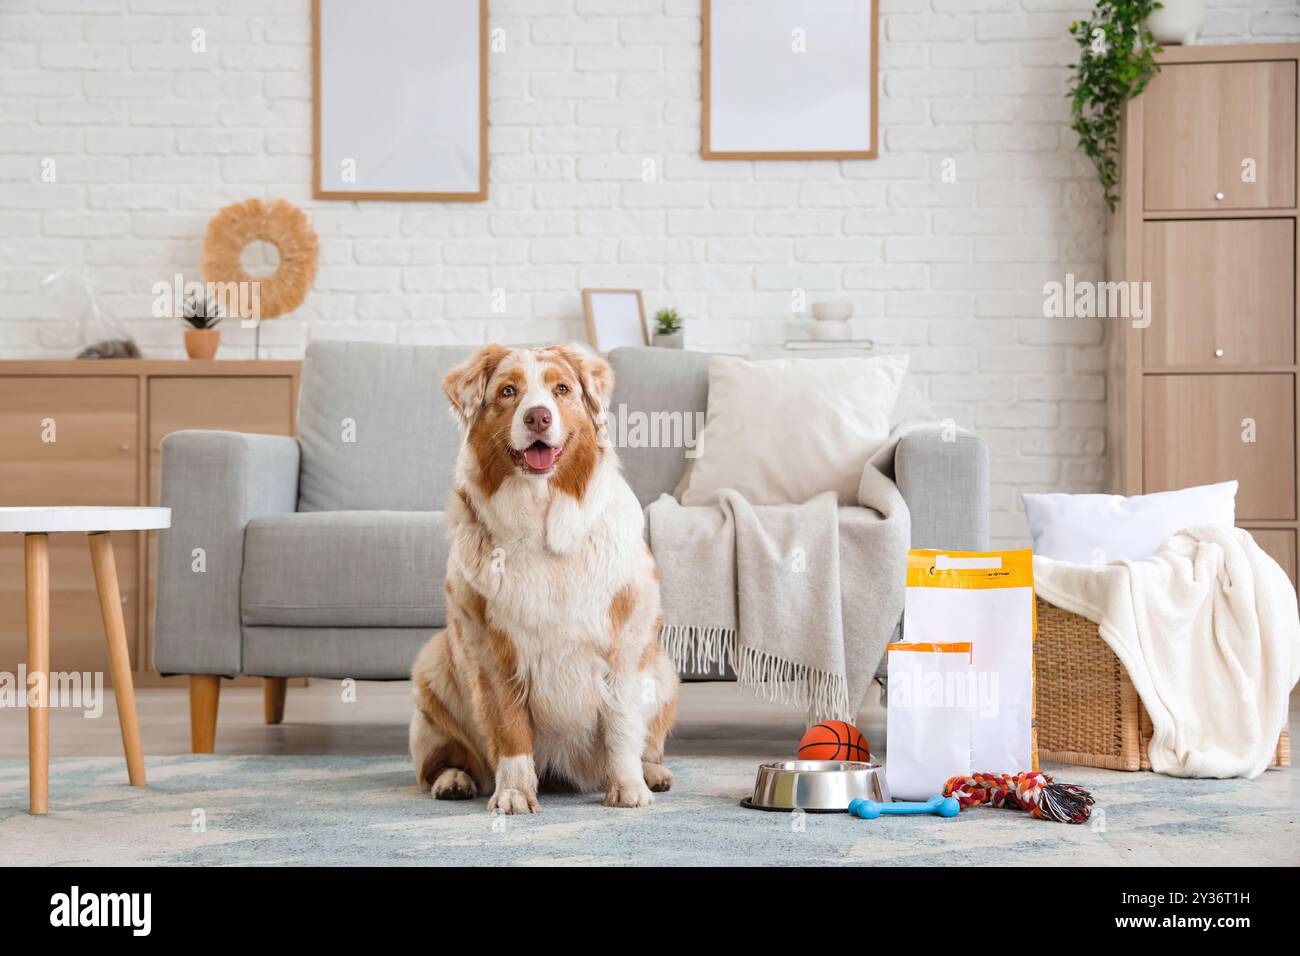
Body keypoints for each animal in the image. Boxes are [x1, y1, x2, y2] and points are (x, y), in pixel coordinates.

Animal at [410, 343, 681, 816]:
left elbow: (622, 726)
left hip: (664, 671)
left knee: (647, 740)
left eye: (562, 389)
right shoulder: (492, 650)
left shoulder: (626, 643)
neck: (543, 525)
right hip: (433, 668)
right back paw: (454, 780)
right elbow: (510, 732)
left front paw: (628, 788)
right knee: (441, 760)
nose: (538, 417)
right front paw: (515, 794)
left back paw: (653, 772)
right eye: (508, 391)